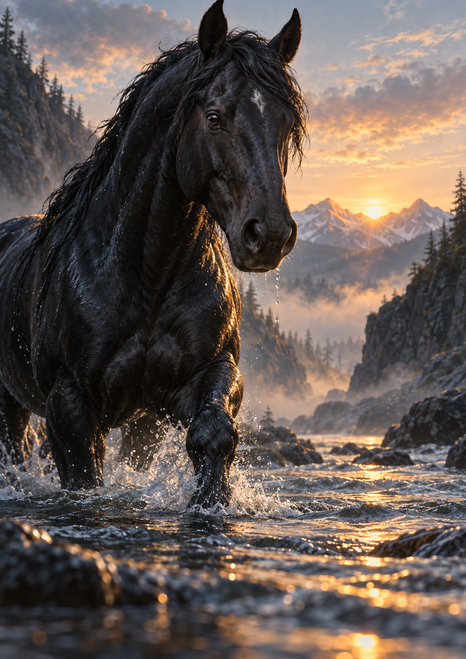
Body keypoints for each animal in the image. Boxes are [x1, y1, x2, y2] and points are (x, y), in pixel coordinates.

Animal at [0, 0, 306, 508]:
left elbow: (212, 433)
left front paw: (210, 501)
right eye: (214, 117)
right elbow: (83, 475)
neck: (146, 272)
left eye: (287, 123)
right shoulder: (69, 408)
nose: (270, 234)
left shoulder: (203, 376)